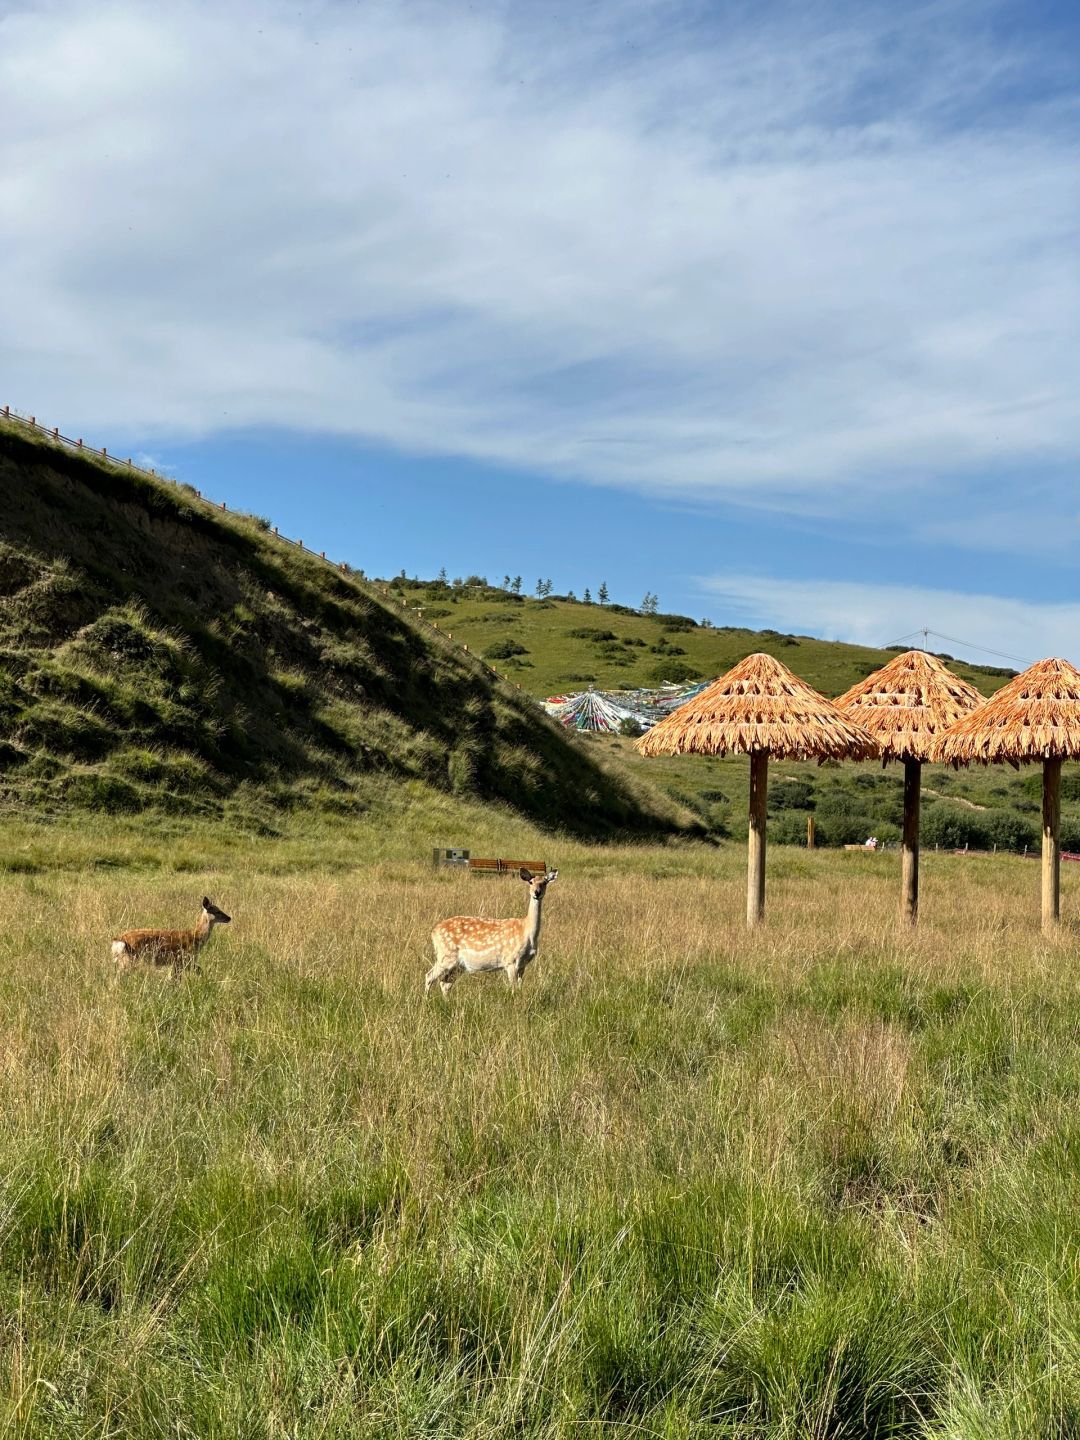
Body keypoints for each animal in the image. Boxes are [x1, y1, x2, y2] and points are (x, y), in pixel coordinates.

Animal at [426, 868, 559, 999]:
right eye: (530, 882)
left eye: (544, 882)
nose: (537, 892)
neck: (526, 930)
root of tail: (433, 932)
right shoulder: (510, 960)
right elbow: (513, 988)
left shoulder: (523, 964)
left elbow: (520, 987)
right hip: (446, 955)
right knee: (429, 976)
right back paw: (427, 999)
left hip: (457, 965)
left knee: (445, 983)